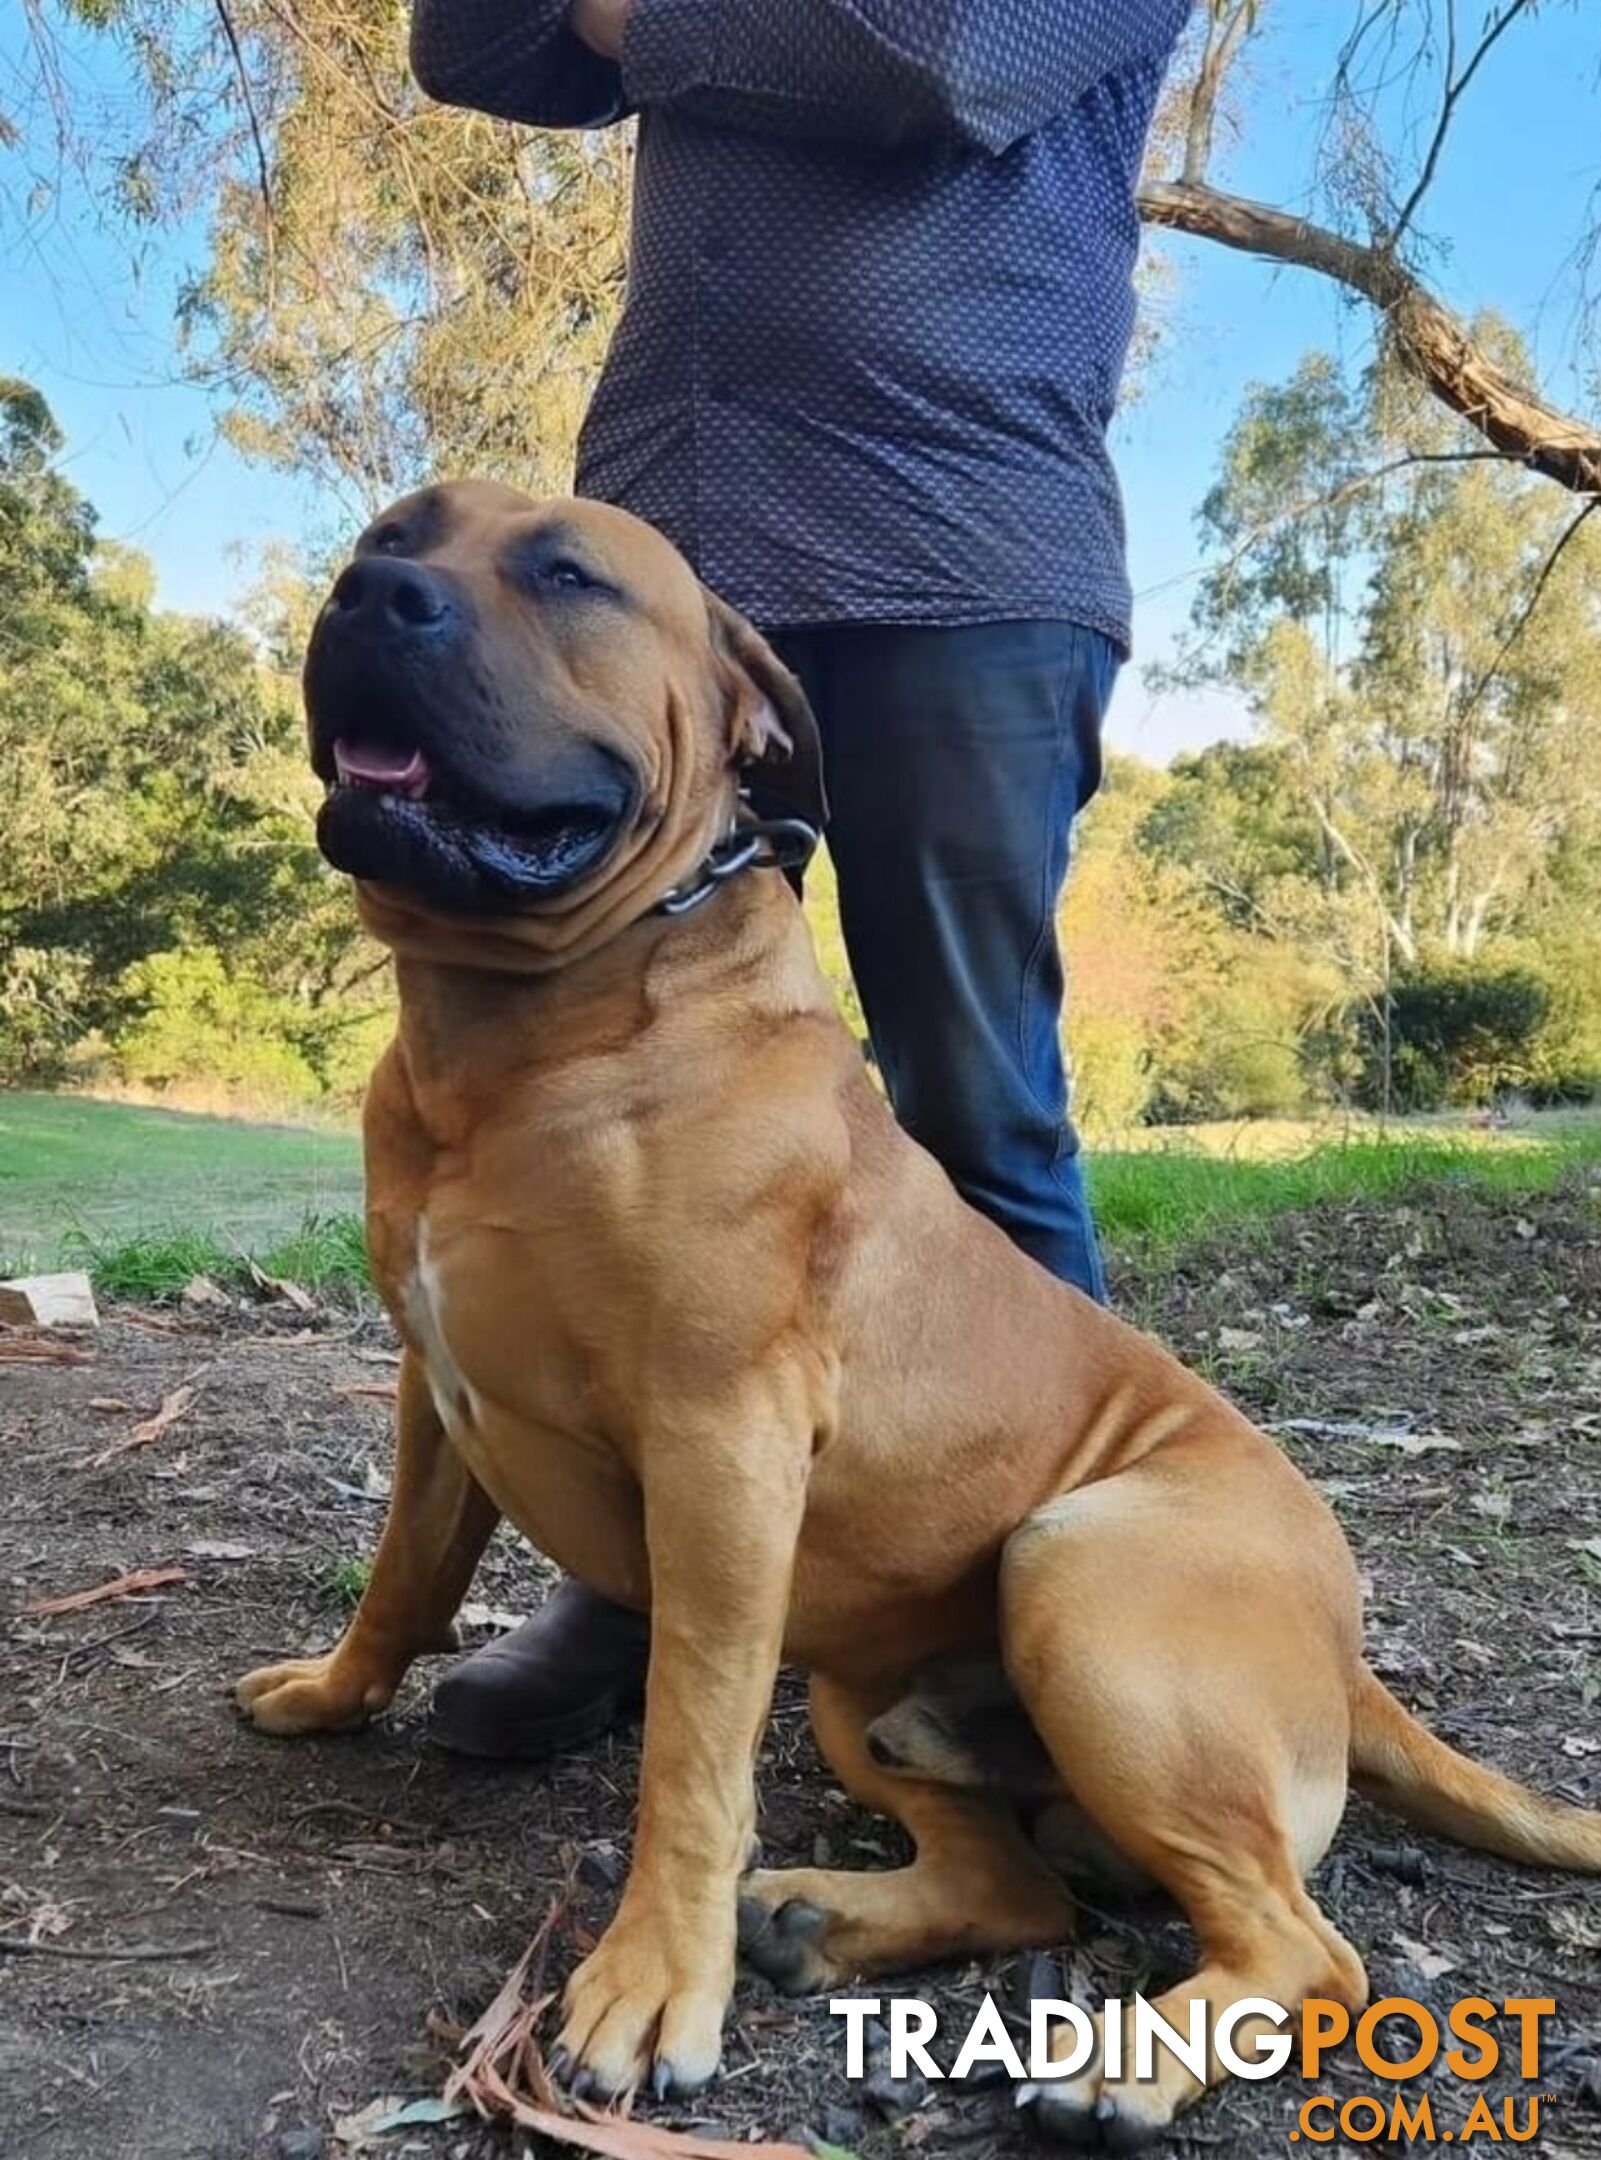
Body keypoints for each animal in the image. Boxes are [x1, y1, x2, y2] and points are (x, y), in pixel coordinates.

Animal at [237, 481, 1598, 2151]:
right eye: (395, 533)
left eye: (568, 575)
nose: (373, 596)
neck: (524, 1034)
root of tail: (1346, 1658)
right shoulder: (432, 1389)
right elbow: (403, 1575)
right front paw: (334, 1694)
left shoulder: (721, 1449)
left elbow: (688, 1750)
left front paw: (652, 1982)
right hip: (857, 1693)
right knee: (1023, 1891)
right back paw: (820, 1918)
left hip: (1080, 1581)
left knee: (1305, 1946)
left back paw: (1126, 2061)